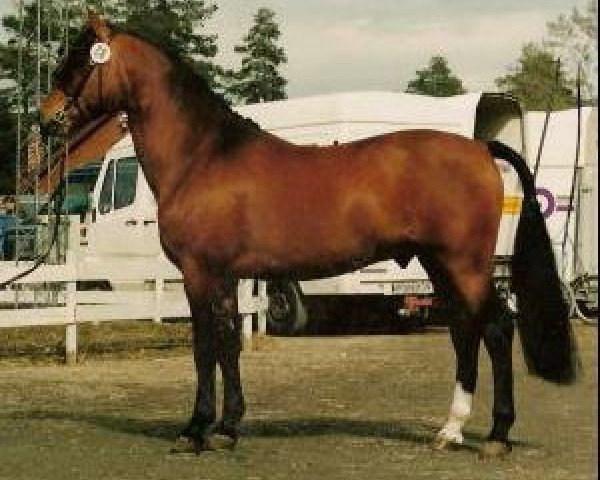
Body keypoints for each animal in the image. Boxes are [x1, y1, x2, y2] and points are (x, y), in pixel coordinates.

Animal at [41, 13, 576, 458]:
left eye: (78, 62)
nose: (46, 120)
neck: (205, 156)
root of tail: (480, 149)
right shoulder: (227, 278)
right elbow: (229, 345)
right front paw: (228, 428)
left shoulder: (200, 274)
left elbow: (205, 347)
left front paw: (196, 431)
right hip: (439, 265)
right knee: (465, 331)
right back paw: (450, 431)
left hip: (464, 264)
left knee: (496, 329)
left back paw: (497, 436)